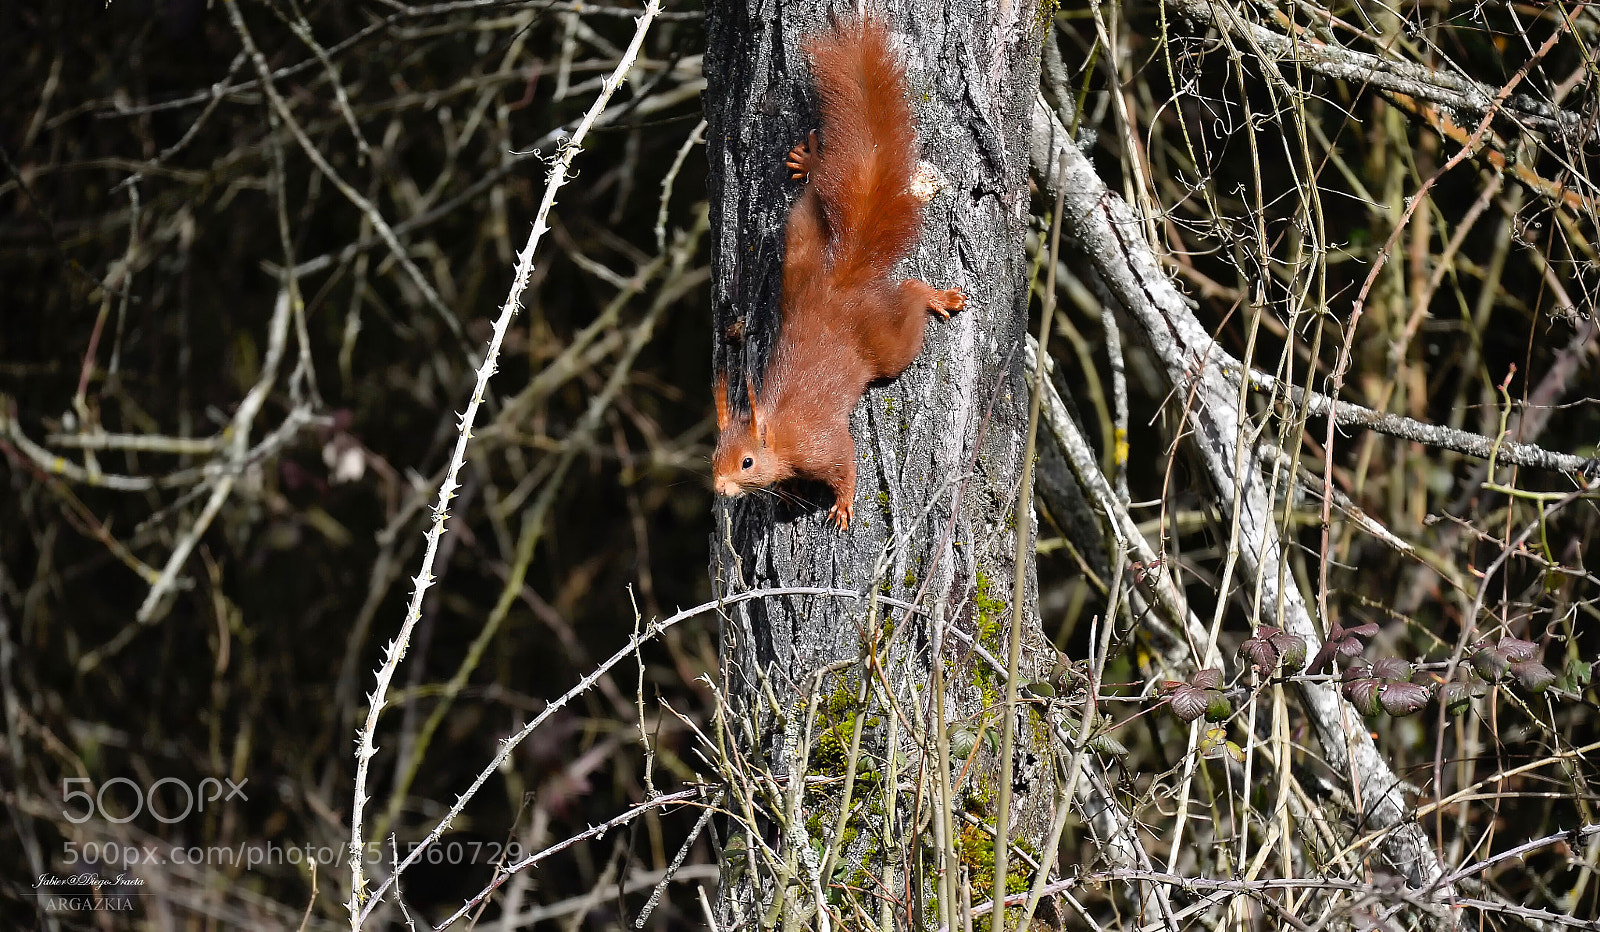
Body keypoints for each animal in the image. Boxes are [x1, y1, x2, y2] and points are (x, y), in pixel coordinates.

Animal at [712, 16, 965, 531]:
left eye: (746, 461)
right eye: (714, 457)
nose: (719, 488)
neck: (780, 432)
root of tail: (840, 280)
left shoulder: (822, 443)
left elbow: (846, 465)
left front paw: (844, 504)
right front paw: (787, 494)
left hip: (884, 345)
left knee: (907, 304)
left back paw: (935, 297)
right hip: (798, 251)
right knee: (812, 200)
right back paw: (811, 163)